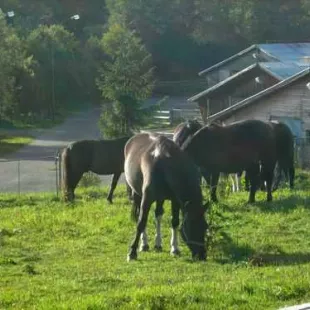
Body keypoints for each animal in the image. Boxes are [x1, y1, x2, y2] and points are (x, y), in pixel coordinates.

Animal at [124, 133, 208, 262]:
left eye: (205, 226)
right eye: (192, 226)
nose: (202, 255)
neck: (164, 162)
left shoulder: (175, 200)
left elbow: (175, 221)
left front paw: (174, 248)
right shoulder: (147, 199)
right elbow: (141, 222)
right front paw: (132, 252)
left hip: (160, 198)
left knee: (158, 214)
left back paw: (158, 244)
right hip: (137, 194)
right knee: (140, 215)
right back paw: (144, 244)